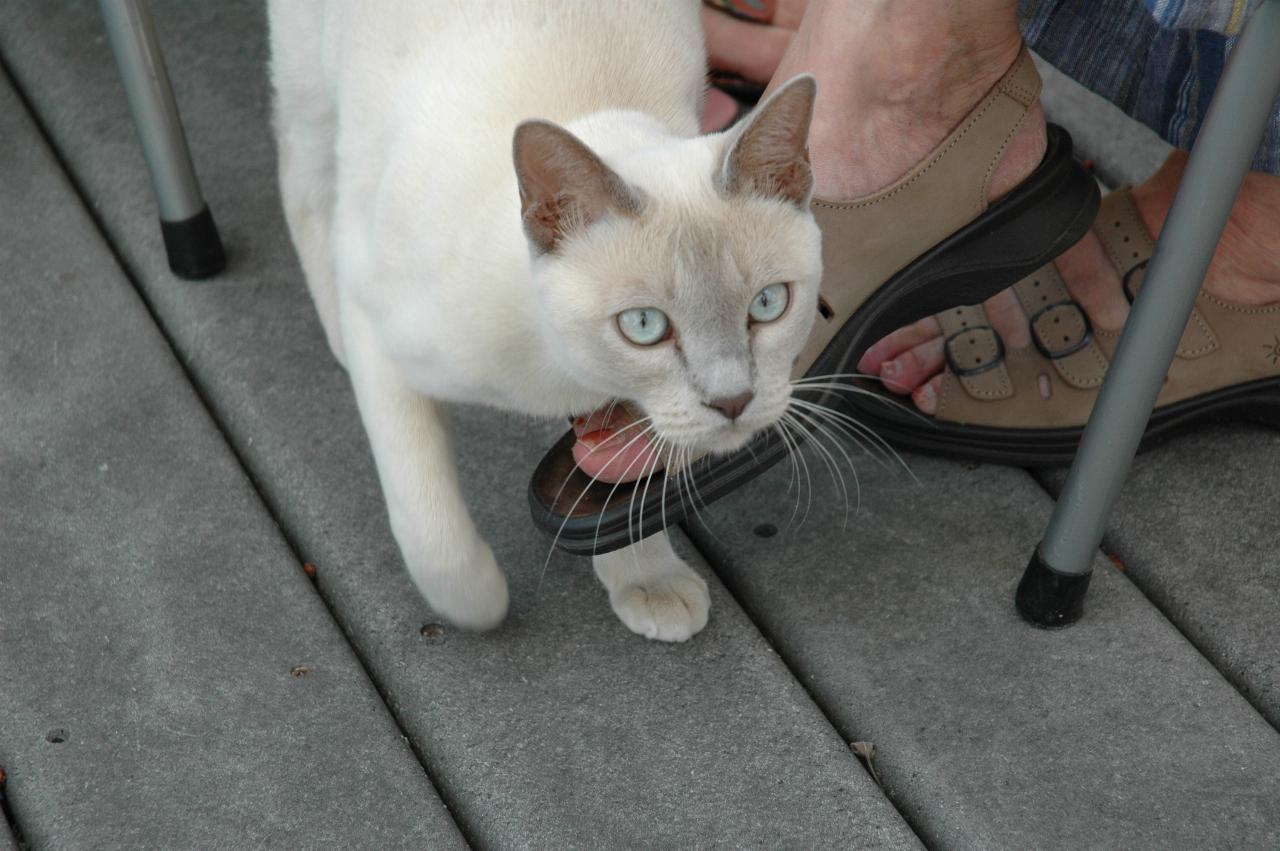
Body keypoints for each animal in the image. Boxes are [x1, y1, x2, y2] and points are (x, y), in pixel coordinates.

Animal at [270, 0, 819, 637]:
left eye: (768, 305)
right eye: (644, 326)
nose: (732, 402)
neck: (560, 376)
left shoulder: (618, 408)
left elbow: (612, 490)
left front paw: (648, 581)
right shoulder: (381, 337)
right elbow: (433, 530)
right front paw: (480, 606)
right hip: (312, 84)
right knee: (301, 172)